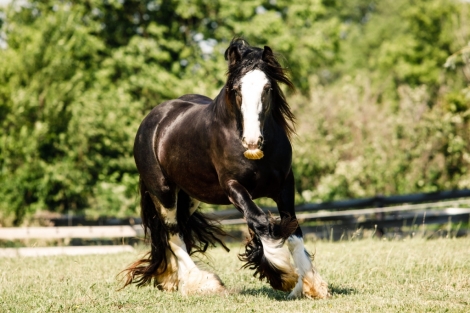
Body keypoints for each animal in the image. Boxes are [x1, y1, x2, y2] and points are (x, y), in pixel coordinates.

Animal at [121, 38, 328, 298]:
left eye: (267, 88)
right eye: (237, 90)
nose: (252, 142)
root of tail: (154, 118)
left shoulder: (285, 184)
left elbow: (293, 230)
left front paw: (311, 284)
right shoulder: (233, 187)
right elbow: (260, 220)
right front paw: (284, 275)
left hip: (188, 196)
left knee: (179, 230)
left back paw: (172, 279)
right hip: (164, 193)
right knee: (173, 234)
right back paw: (202, 283)